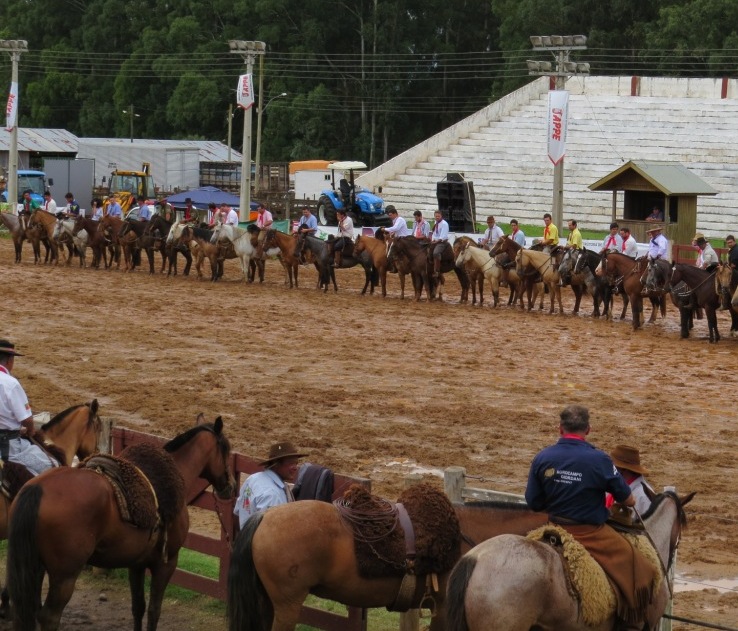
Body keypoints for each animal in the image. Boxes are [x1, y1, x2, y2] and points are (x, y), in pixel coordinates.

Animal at [7, 420, 234, 631]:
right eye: (227, 449)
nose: (230, 486)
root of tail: (37, 489)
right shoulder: (166, 563)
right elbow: (154, 610)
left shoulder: (137, 563)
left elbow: (138, 607)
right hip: (65, 575)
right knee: (49, 617)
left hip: (35, 567)